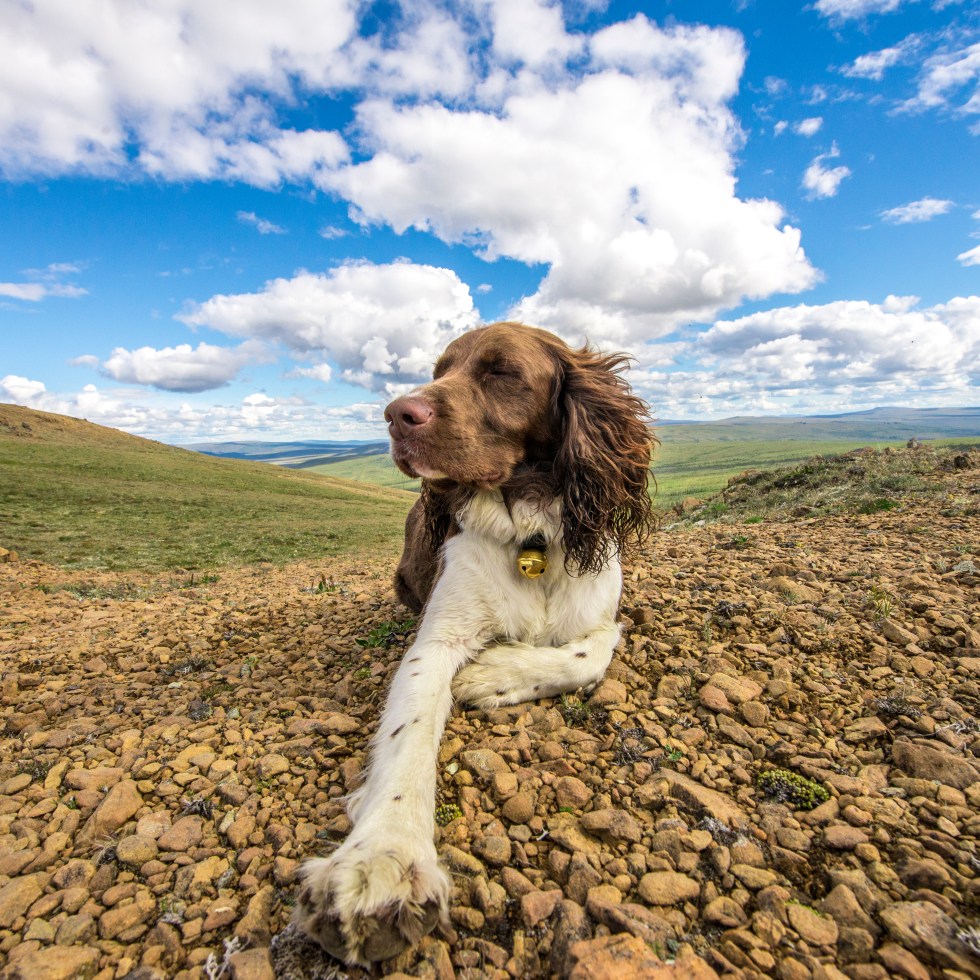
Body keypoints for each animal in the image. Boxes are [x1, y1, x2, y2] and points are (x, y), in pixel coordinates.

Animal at [295, 322, 654, 965]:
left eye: (501, 371)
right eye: (438, 370)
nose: (395, 413)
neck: (531, 541)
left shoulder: (605, 616)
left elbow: (588, 657)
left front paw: (491, 673)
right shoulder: (434, 642)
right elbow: (409, 735)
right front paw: (384, 859)